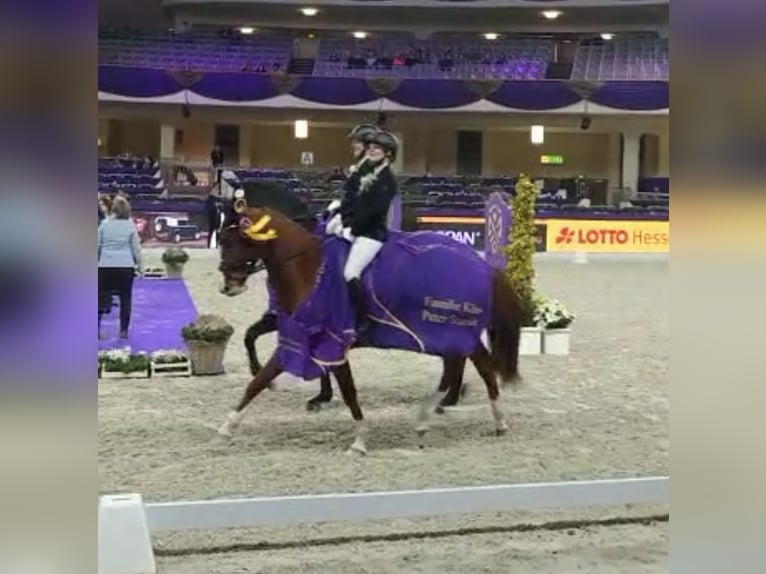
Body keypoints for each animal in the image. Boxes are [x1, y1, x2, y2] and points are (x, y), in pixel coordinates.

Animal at [219, 205, 524, 456]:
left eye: (233, 241)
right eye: (221, 240)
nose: (227, 286)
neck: (309, 269)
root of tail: (482, 266)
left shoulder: (332, 341)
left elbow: (349, 392)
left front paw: (359, 441)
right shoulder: (301, 337)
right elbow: (258, 379)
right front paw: (226, 427)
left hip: (451, 332)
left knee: (467, 368)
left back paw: (445, 416)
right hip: (455, 334)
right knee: (476, 367)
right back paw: (482, 419)